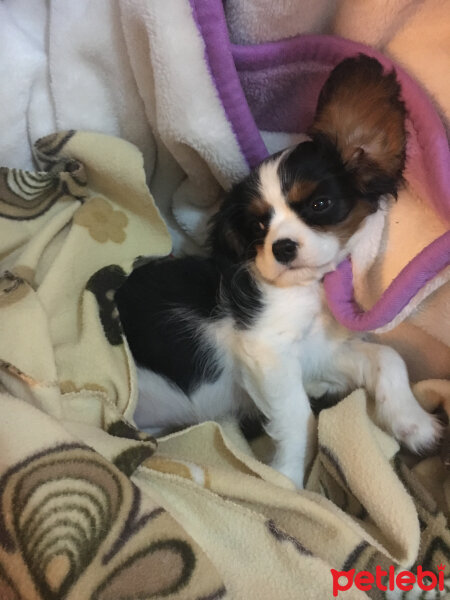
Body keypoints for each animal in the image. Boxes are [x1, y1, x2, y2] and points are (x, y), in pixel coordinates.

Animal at [116, 55, 440, 488]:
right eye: (257, 225)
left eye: (319, 204)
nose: (282, 247)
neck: (312, 289)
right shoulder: (266, 348)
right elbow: (298, 416)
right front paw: (287, 478)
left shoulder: (318, 352)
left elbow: (387, 356)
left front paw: (413, 423)